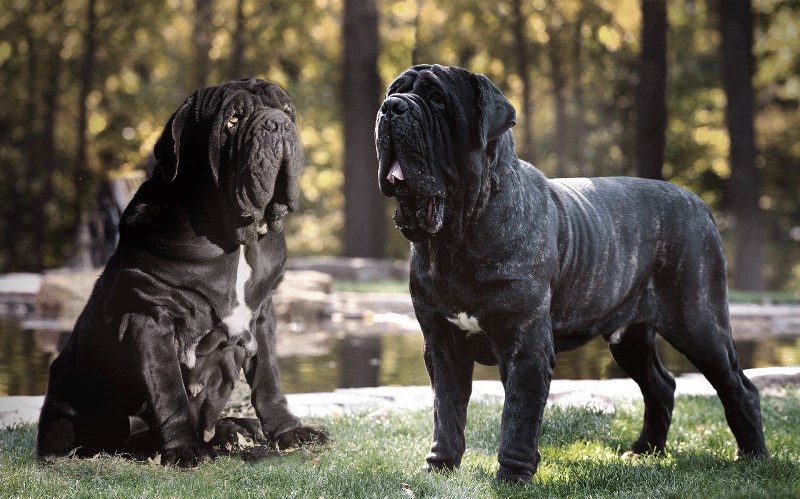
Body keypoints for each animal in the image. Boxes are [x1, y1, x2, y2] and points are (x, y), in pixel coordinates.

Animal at [37, 77, 324, 464]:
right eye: (232, 120)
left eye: (287, 111)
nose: (276, 124)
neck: (234, 242)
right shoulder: (150, 316)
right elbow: (168, 391)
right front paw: (185, 448)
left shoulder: (263, 315)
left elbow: (268, 378)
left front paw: (289, 431)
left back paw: (234, 430)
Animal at [376, 66, 768, 484]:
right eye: (394, 91)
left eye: (437, 99)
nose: (391, 107)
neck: (456, 236)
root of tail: (698, 203)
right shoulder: (441, 344)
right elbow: (446, 410)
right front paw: (440, 468)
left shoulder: (526, 346)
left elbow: (518, 415)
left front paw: (512, 477)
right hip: (631, 336)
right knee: (660, 385)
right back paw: (645, 451)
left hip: (699, 324)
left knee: (738, 385)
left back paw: (753, 456)